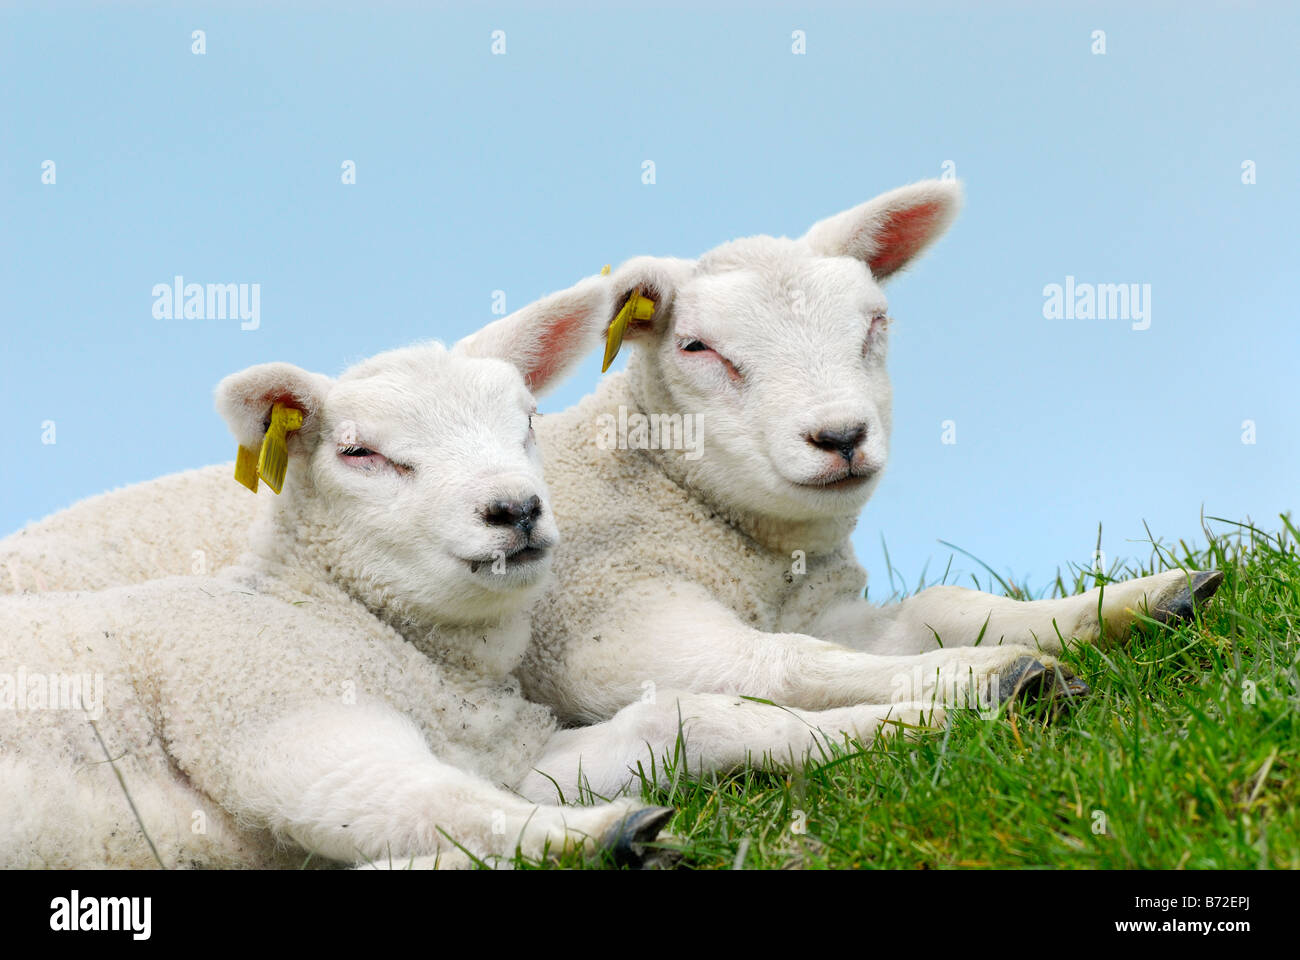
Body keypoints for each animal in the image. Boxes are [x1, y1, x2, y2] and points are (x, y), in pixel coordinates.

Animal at [0, 304, 682, 868]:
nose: (515, 509)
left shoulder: (509, 752)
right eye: (359, 452)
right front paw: (606, 833)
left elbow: (660, 727)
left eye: (530, 420)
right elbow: (430, 802)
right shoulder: (277, 714)